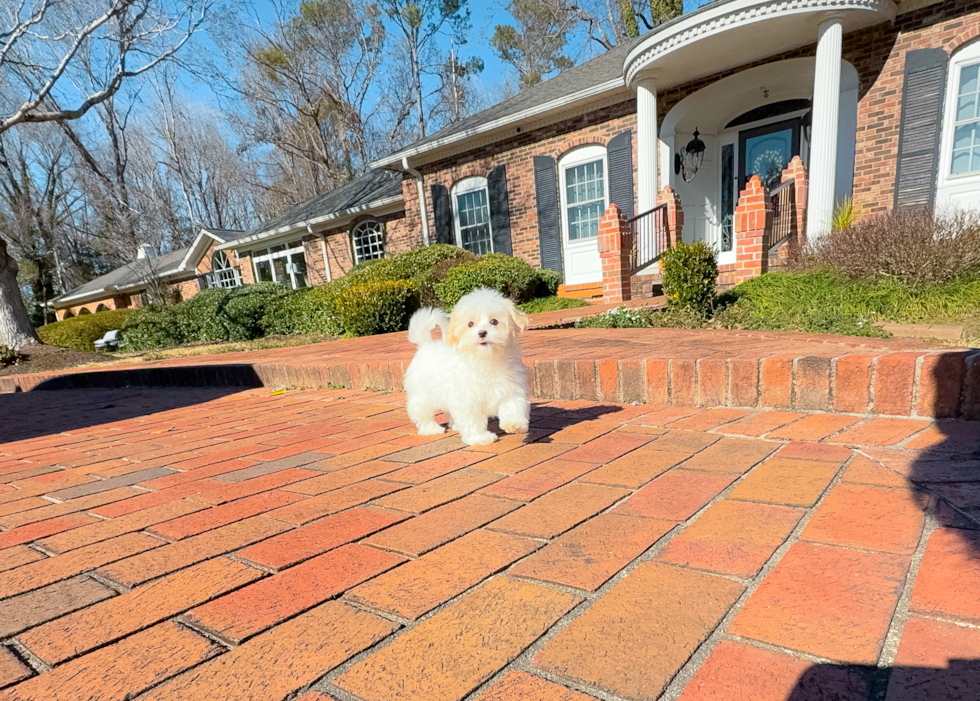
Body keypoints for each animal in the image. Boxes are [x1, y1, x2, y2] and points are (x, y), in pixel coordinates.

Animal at [404, 288, 532, 446]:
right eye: (470, 324)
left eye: (494, 321)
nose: (482, 332)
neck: (486, 359)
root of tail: (426, 344)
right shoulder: (467, 398)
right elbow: (472, 420)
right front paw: (480, 437)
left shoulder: (512, 386)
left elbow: (513, 405)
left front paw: (515, 424)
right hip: (423, 394)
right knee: (421, 412)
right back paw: (431, 428)